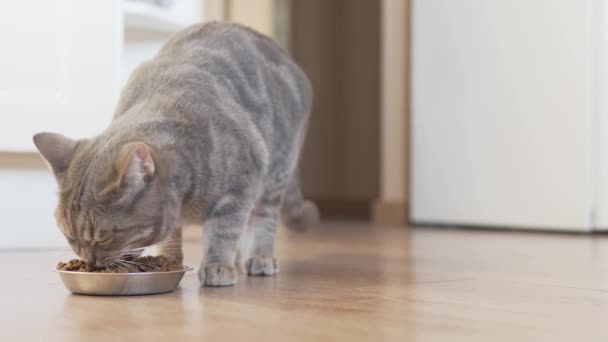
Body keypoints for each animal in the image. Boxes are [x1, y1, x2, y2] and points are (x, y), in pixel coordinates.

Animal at [33, 22, 318, 286]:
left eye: (103, 236)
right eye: (70, 237)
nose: (90, 262)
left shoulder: (240, 185)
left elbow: (224, 231)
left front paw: (218, 265)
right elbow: (171, 234)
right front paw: (169, 258)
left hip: (277, 169)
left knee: (264, 217)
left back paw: (259, 257)